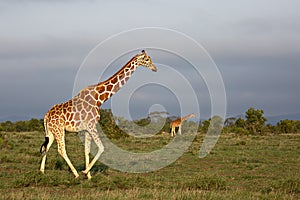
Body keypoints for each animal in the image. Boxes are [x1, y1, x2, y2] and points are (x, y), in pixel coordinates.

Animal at [39, 49, 157, 178]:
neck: (99, 99)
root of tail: (46, 116)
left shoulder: (87, 128)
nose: (154, 68)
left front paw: (89, 176)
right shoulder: (92, 125)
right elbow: (101, 148)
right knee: (61, 149)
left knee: (46, 147)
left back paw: (42, 171)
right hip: (59, 130)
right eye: (147, 59)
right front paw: (85, 172)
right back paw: (75, 173)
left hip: (51, 131)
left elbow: (87, 150)